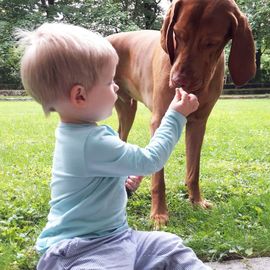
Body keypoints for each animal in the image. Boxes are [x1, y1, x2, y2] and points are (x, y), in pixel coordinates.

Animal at [107, 0, 255, 228]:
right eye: (177, 34)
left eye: (211, 43)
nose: (177, 80)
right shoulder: (159, 119)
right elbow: (158, 177)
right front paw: (158, 214)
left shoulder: (198, 123)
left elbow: (194, 169)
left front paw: (196, 201)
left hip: (127, 108)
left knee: (120, 134)